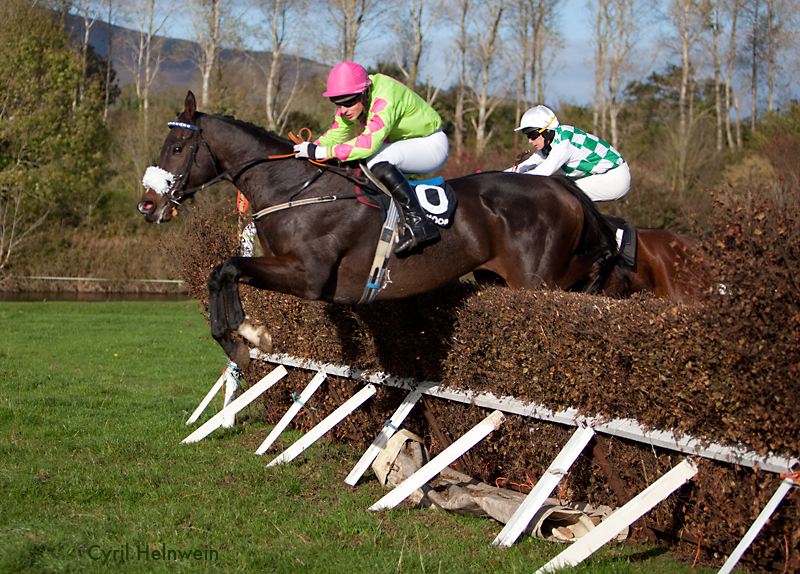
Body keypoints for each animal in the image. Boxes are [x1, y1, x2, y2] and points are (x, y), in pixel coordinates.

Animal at [139, 91, 620, 366]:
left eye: (177, 147)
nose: (148, 204)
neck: (295, 188)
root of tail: (556, 185)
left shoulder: (308, 276)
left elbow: (226, 268)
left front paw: (247, 334)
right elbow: (219, 271)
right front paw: (238, 336)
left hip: (538, 278)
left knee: (587, 270)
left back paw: (605, 268)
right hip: (498, 275)